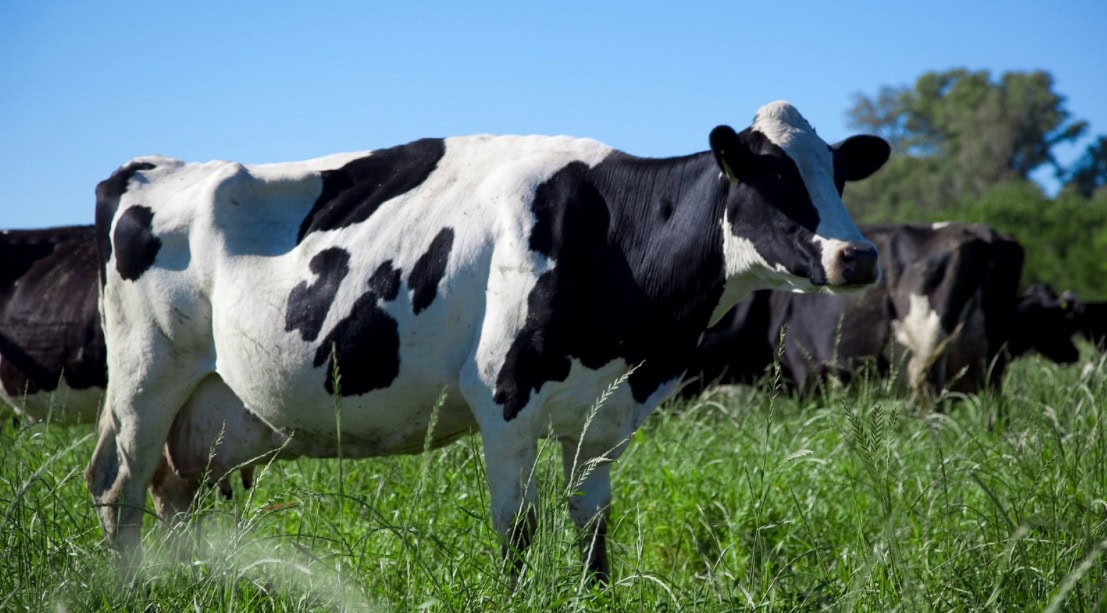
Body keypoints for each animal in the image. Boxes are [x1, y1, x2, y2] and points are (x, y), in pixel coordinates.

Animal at [86, 101, 890, 580]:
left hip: (206, 408)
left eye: (837, 173)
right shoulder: (506, 400)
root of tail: (150, 168)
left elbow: (592, 529)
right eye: (771, 174)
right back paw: (129, 583)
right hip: (145, 377)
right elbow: (518, 531)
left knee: (171, 495)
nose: (858, 256)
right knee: (117, 487)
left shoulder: (606, 417)